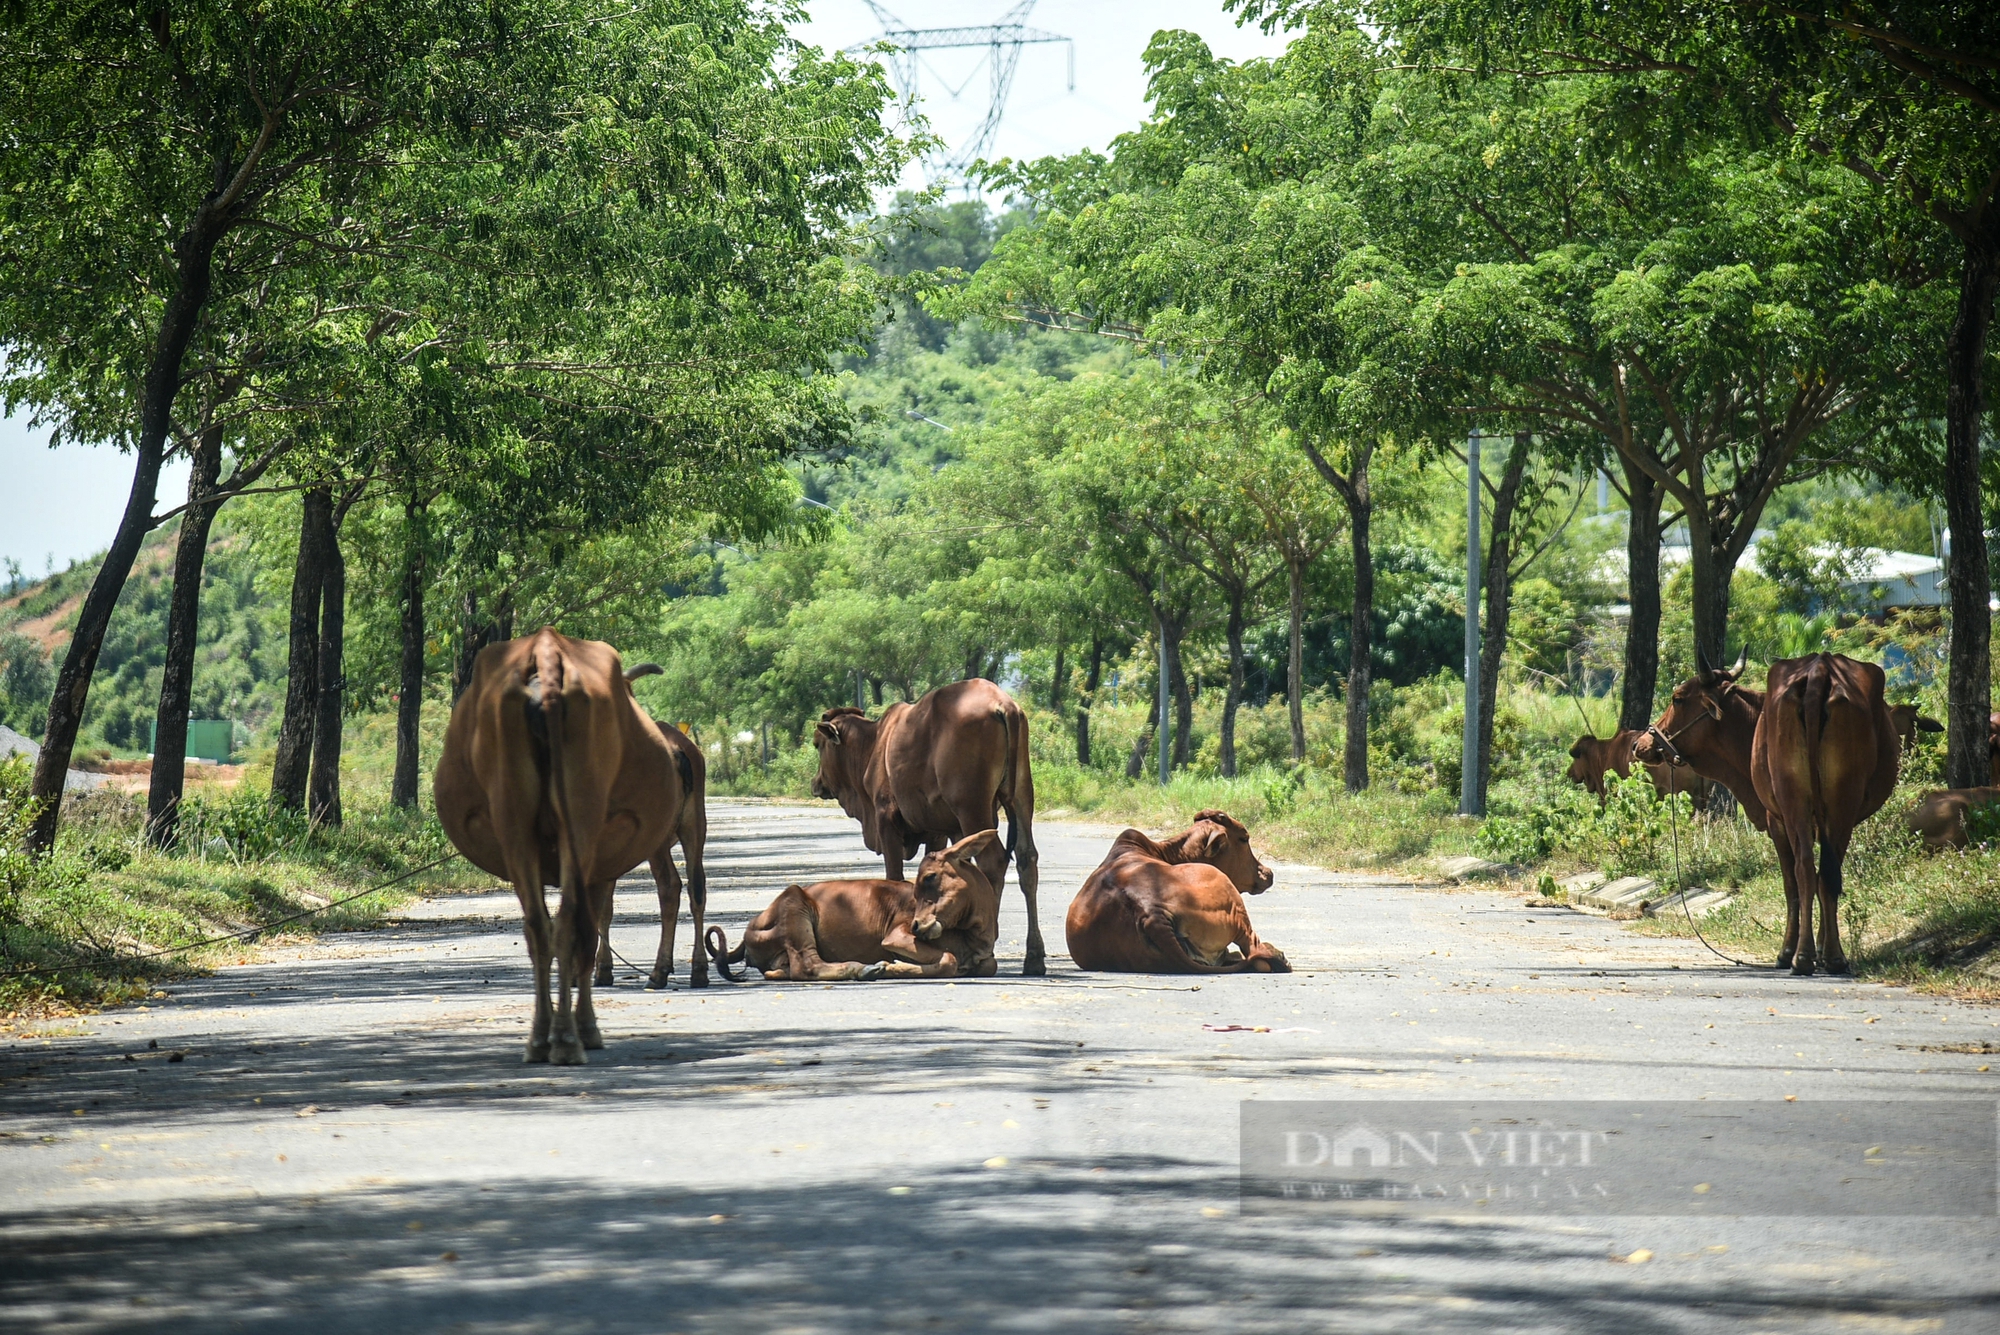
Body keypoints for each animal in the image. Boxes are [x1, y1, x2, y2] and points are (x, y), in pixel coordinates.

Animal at [438, 631, 712, 1071]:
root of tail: (680, 748)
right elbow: (603, 912)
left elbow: (597, 915)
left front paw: (601, 973)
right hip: (686, 827)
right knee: (689, 888)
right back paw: (683, 970)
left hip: (658, 835)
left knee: (663, 892)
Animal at [712, 835, 1008, 979]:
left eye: (930, 877)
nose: (917, 925)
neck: (975, 933)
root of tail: (751, 927)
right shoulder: (896, 936)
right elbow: (948, 959)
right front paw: (891, 967)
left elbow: (986, 965)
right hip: (795, 906)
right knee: (806, 967)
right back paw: (863, 969)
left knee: (782, 971)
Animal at [808, 683, 1048, 975]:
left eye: (818, 744)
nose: (816, 782)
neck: (873, 744)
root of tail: (1003, 704)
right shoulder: (940, 831)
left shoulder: (886, 820)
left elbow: (894, 875)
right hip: (1022, 796)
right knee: (1027, 859)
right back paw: (1034, 957)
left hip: (972, 807)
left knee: (994, 863)